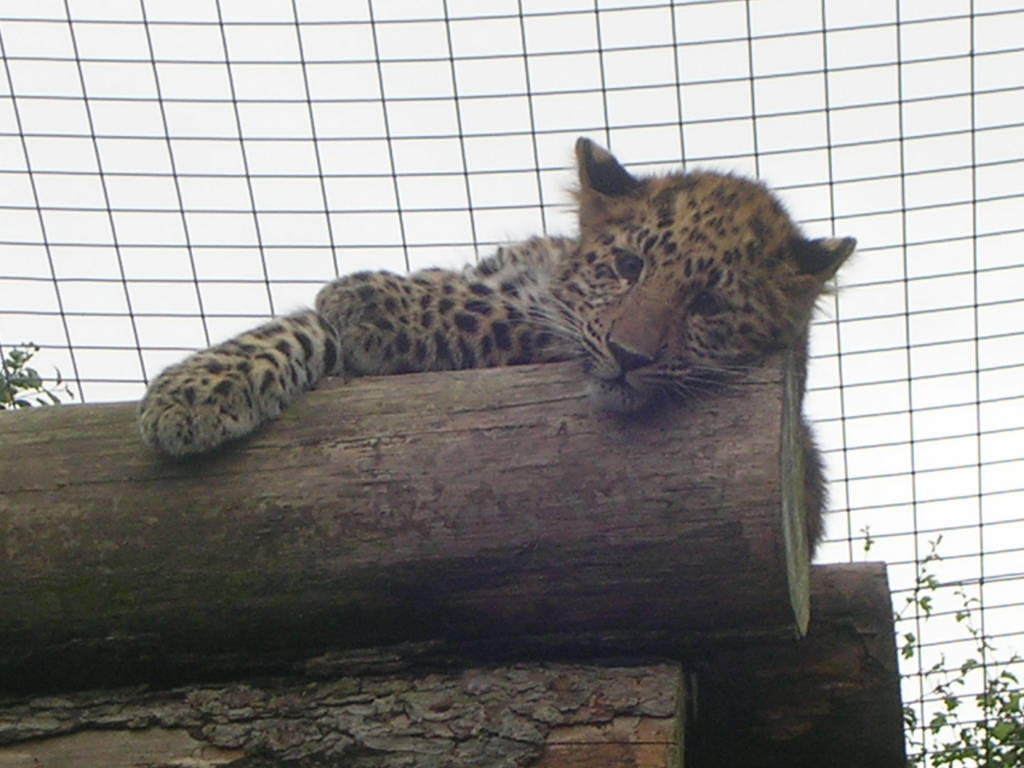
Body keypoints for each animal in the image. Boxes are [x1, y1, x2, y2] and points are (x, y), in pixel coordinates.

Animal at [139, 138, 855, 553]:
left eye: (708, 305)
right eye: (628, 266)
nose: (631, 357)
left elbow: (507, 313)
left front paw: (370, 301)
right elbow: (304, 325)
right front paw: (194, 389)